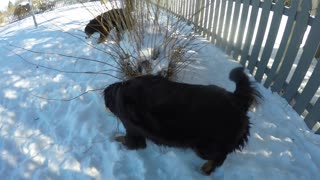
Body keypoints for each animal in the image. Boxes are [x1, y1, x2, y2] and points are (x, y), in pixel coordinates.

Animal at [104, 67, 262, 174]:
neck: (119, 91)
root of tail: (238, 99)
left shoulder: (133, 133)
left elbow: (126, 140)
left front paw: (116, 138)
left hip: (205, 147)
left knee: (220, 157)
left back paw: (206, 169)